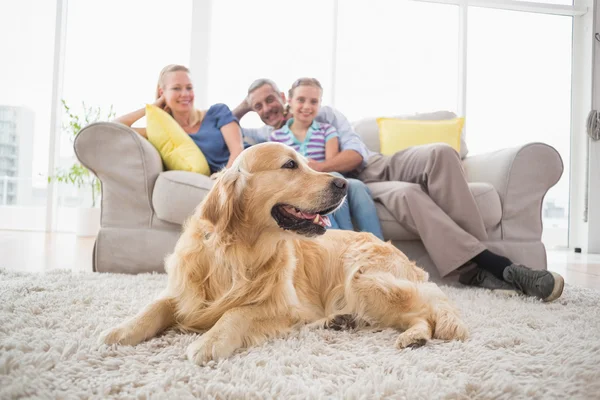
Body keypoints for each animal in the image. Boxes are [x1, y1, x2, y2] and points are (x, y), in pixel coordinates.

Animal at [101, 142, 468, 364]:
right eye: (290, 164)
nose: (342, 184)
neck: (238, 252)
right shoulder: (184, 291)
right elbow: (154, 307)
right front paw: (120, 332)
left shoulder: (281, 305)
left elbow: (237, 312)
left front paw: (209, 341)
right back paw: (340, 321)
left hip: (364, 278)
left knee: (427, 312)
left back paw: (414, 336)